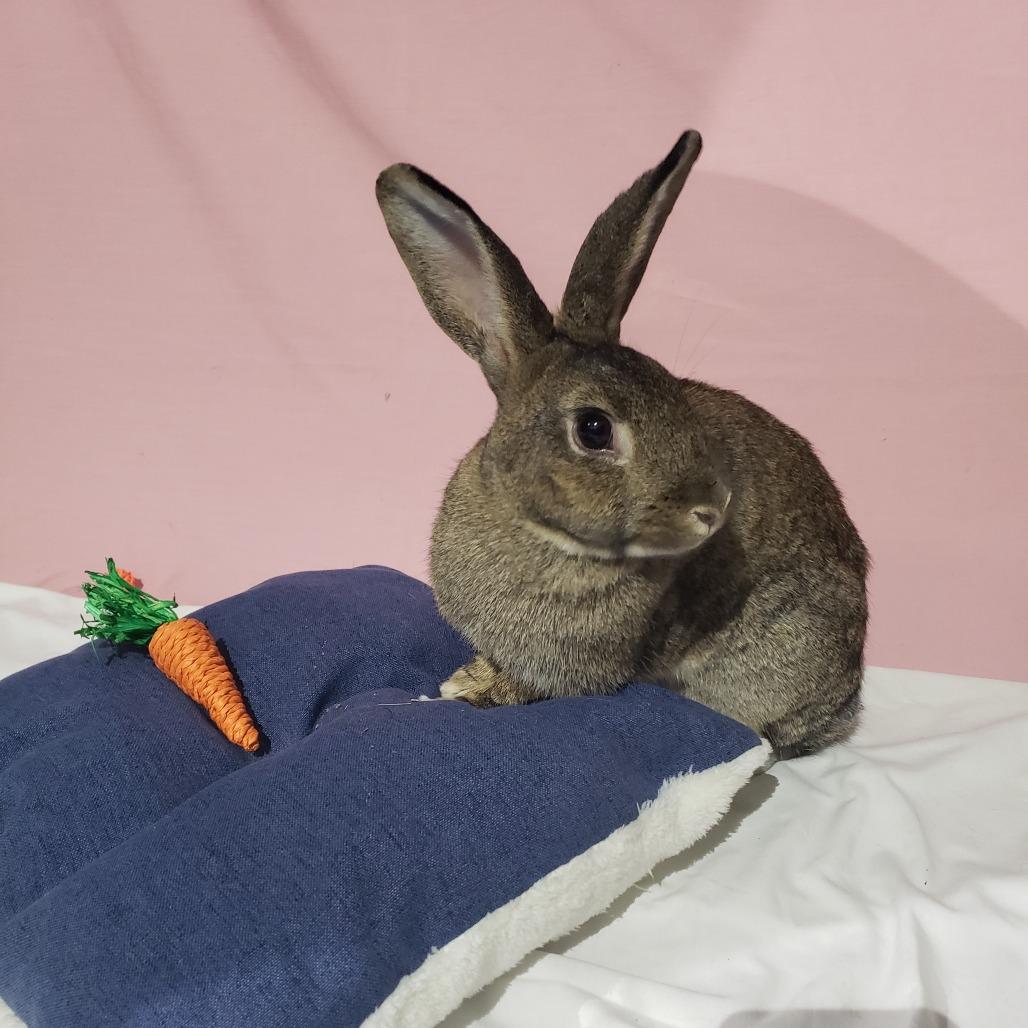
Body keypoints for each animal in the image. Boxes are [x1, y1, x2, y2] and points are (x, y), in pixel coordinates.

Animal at [375, 130, 868, 758]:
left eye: (676, 396)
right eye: (594, 429)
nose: (711, 510)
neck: (541, 532)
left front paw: (474, 689)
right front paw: (468, 678)